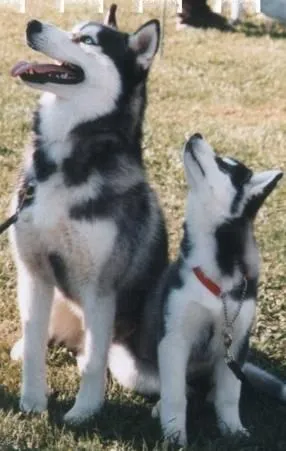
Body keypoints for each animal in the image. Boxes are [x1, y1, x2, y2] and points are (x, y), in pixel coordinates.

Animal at [8, 15, 169, 424]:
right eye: (73, 27)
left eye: (89, 40)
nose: (32, 23)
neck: (62, 163)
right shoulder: (34, 272)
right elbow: (34, 345)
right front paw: (32, 402)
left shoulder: (100, 288)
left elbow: (95, 363)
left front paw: (84, 412)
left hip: (133, 360)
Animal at [109, 134, 284, 444]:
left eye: (224, 165)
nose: (196, 135)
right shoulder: (174, 339)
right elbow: (176, 395)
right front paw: (175, 434)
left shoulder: (237, 341)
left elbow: (230, 394)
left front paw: (233, 430)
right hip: (130, 366)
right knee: (178, 388)